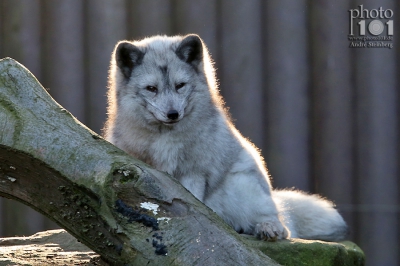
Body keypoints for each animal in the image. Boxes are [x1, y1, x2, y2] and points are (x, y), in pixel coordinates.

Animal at [103, 33, 346, 241]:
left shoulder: (194, 172)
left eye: (180, 86)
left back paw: (268, 227)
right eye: (151, 88)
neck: (165, 139)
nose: (173, 114)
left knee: (280, 224)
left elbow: (191, 201)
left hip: (242, 185)